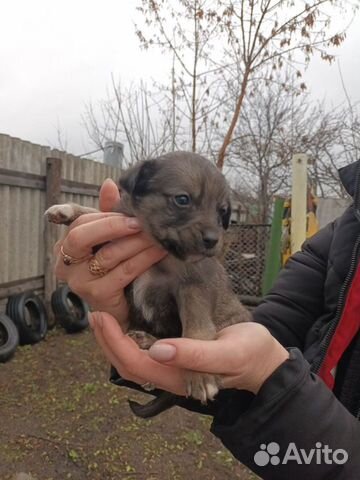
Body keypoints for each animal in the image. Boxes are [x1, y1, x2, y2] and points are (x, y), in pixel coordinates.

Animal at [45, 153, 250, 416]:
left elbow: (195, 331)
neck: (158, 246)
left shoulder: (194, 285)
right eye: (182, 199)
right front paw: (67, 209)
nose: (214, 240)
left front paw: (199, 373)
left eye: (222, 210)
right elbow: (98, 214)